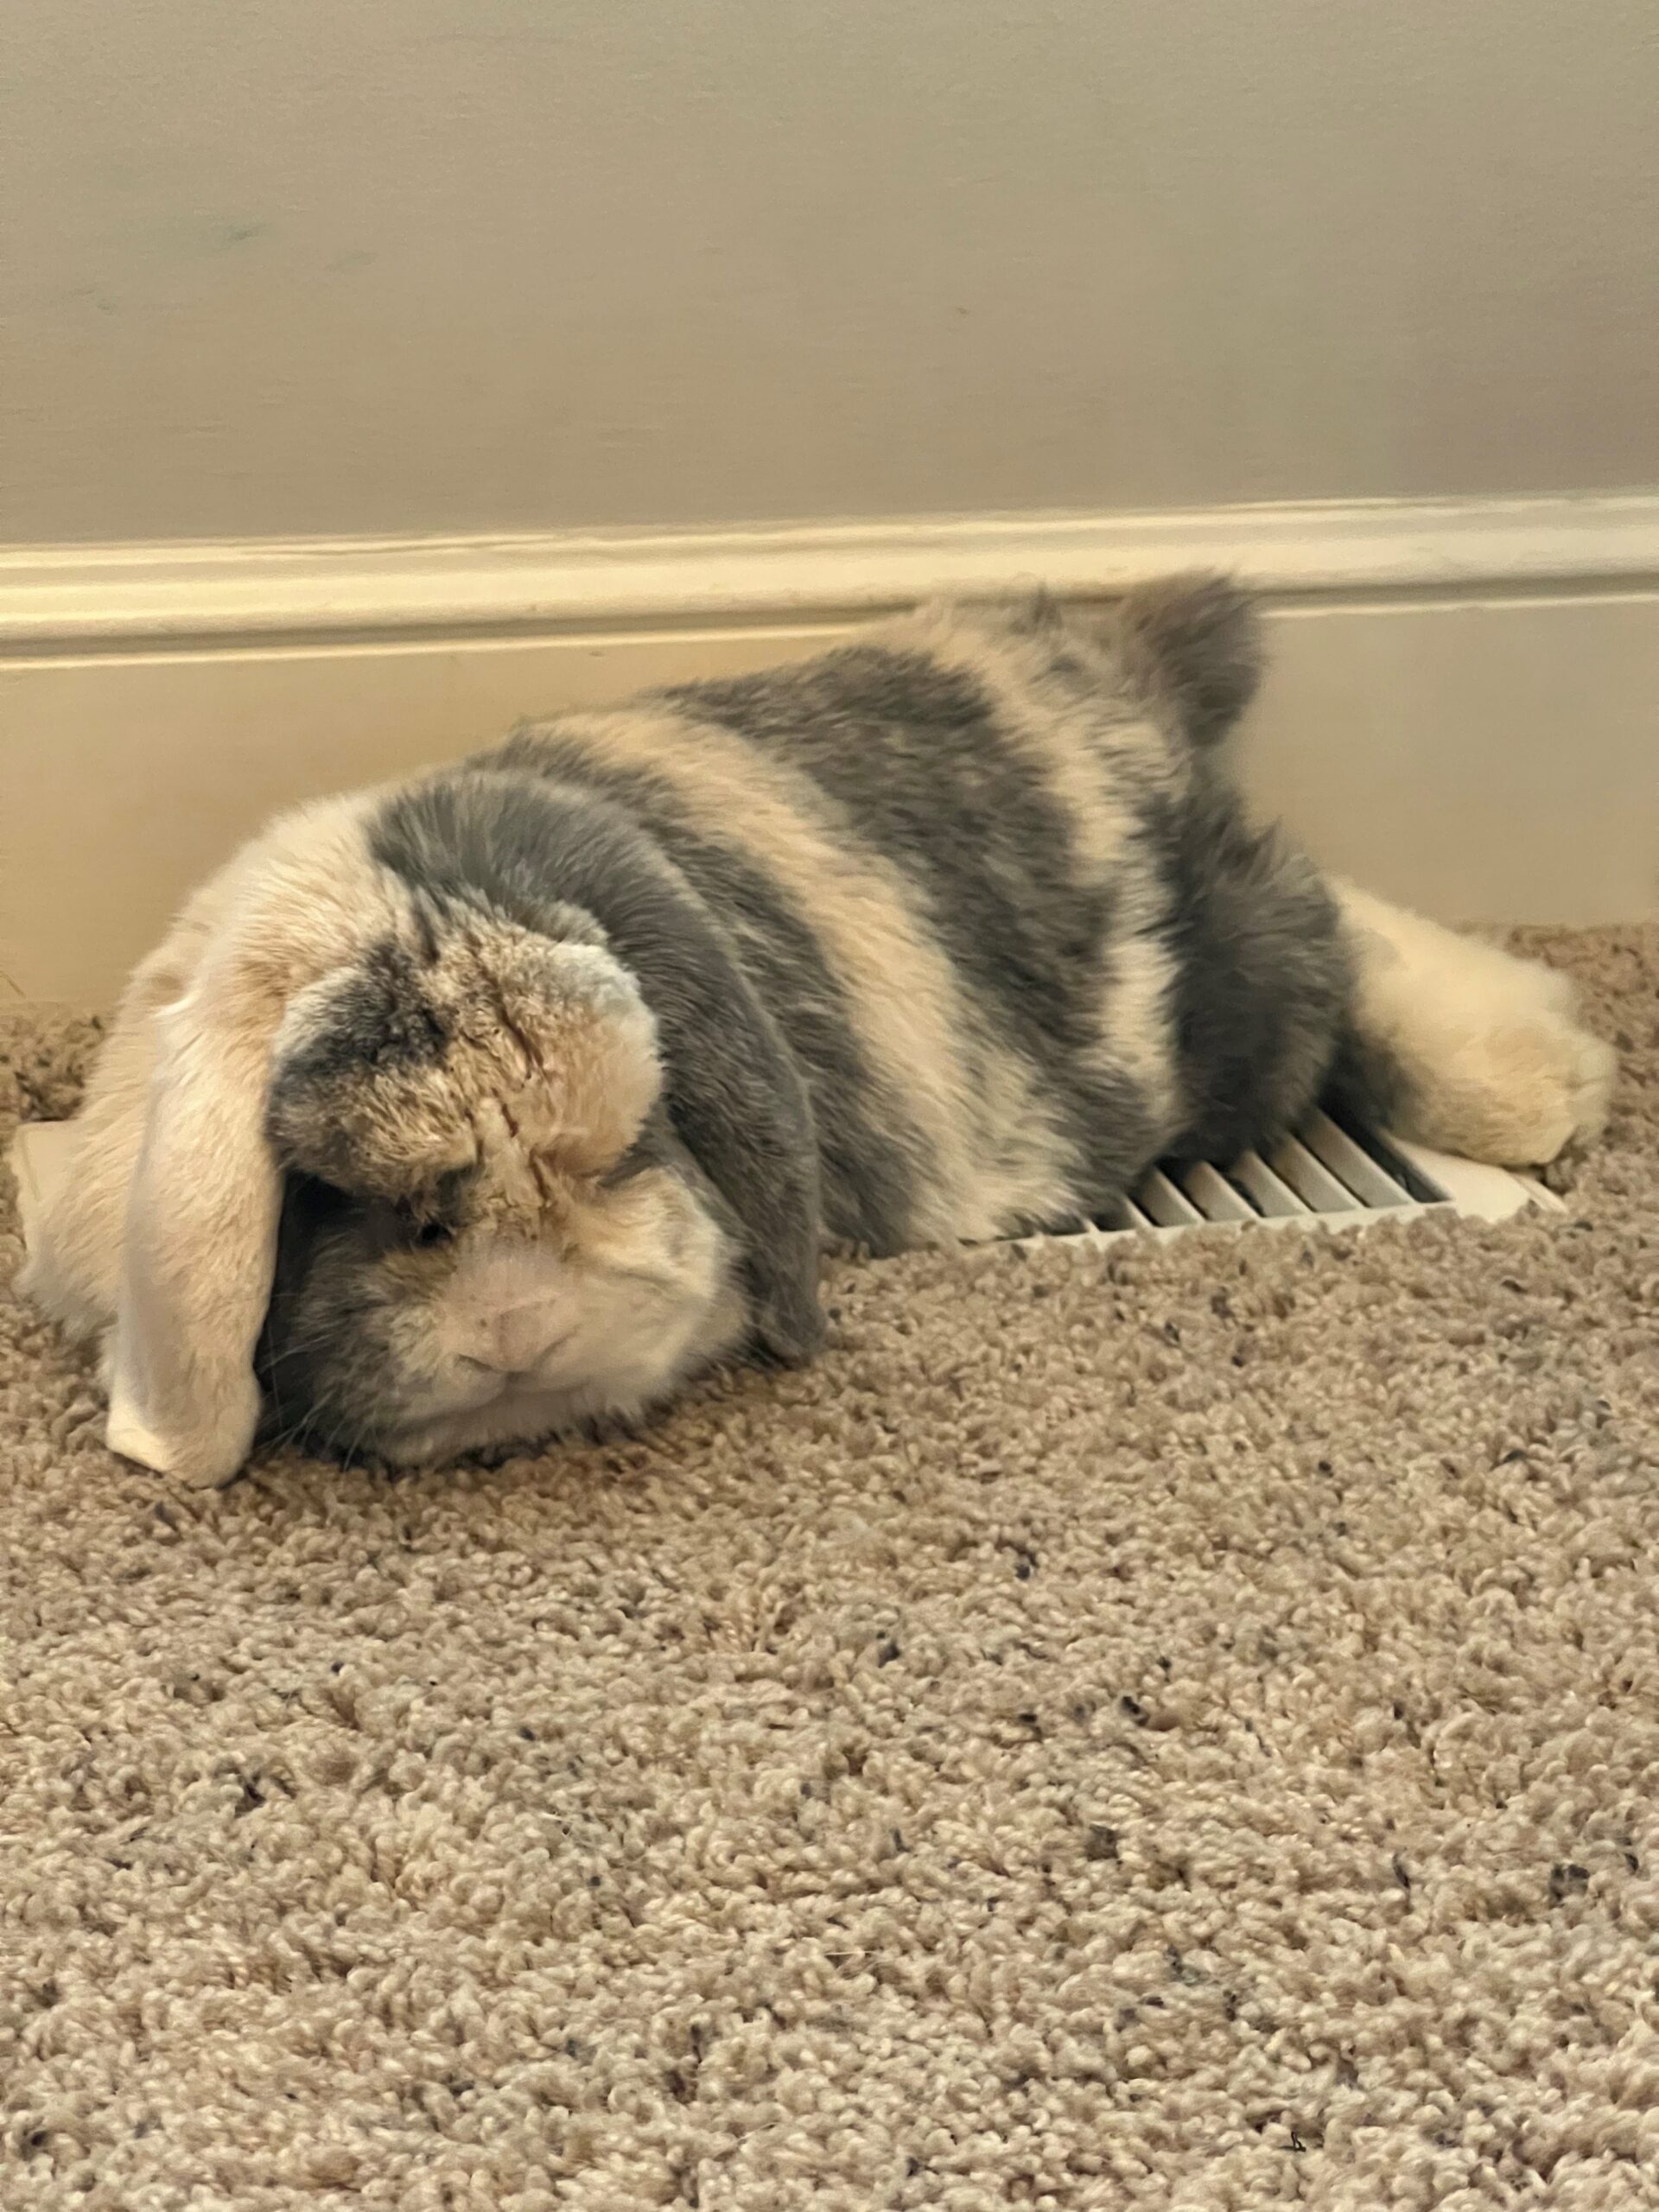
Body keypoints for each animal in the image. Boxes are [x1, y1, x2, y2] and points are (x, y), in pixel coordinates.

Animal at [19, 577, 1616, 1488]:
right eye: (346, 1198)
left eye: (629, 1150)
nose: (515, 1330)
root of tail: (1053, 653)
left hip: (1225, 1003)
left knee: (1336, 926)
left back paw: (1542, 1078)